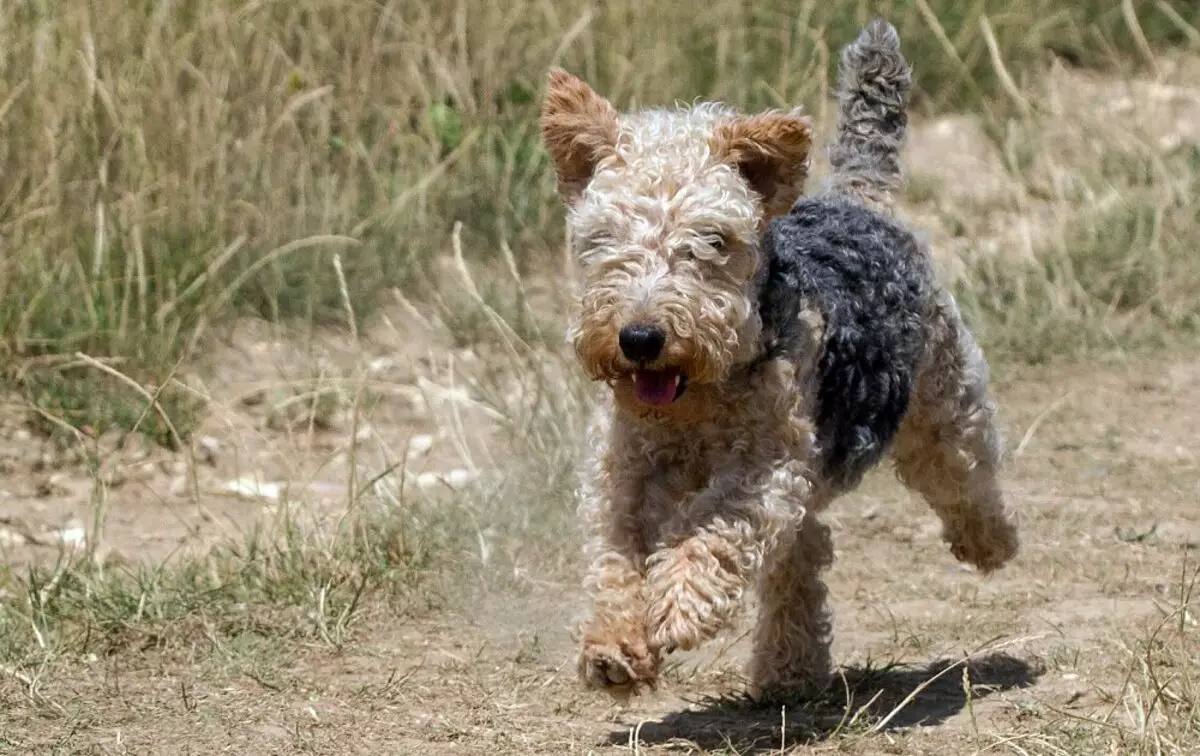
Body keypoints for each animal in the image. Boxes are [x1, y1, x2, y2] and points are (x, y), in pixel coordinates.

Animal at [540, 19, 1017, 705]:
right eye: (601, 239)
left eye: (711, 241)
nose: (641, 338)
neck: (698, 401)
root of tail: (856, 199)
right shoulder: (621, 475)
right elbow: (614, 559)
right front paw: (613, 646)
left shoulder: (766, 468)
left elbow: (708, 531)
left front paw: (676, 607)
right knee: (804, 552)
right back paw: (789, 670)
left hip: (944, 405)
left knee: (968, 478)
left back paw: (991, 545)